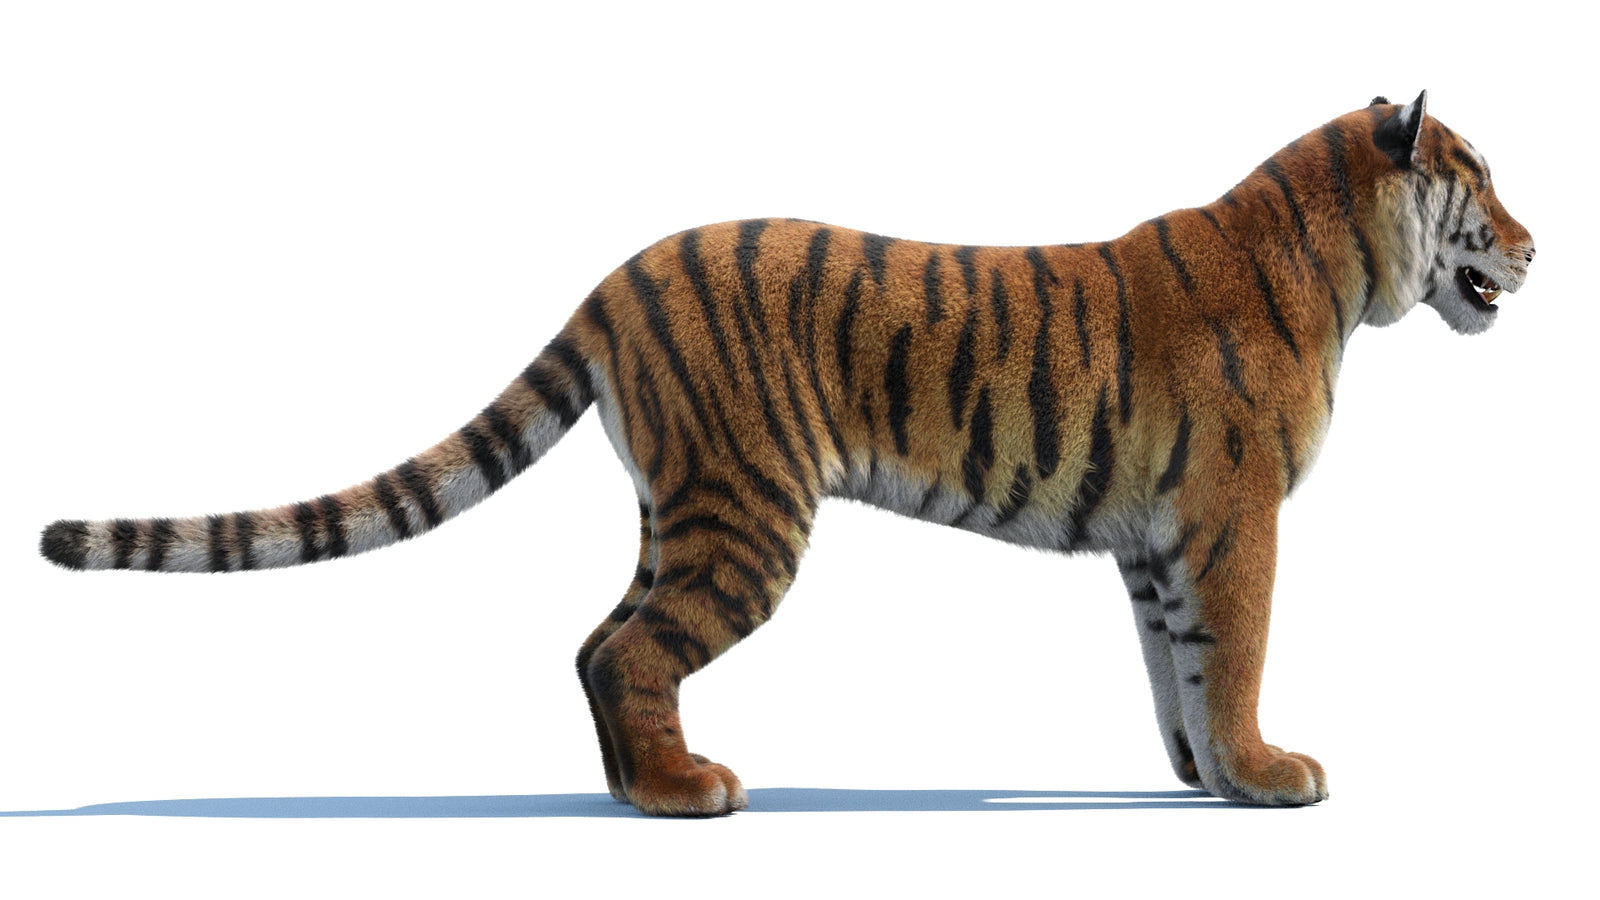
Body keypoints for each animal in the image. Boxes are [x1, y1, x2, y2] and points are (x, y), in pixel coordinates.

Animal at [40, 91, 1535, 815]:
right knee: (624, 649)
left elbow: (1178, 664)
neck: (1344, 268)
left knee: (599, 644)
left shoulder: (1162, 536)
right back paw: (680, 797)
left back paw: (631, 787)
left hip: (686, 508)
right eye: (1479, 176)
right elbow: (1238, 650)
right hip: (748, 511)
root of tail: (618, 277)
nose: (1533, 243)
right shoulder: (1237, 515)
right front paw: (1268, 775)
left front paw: (1198, 774)